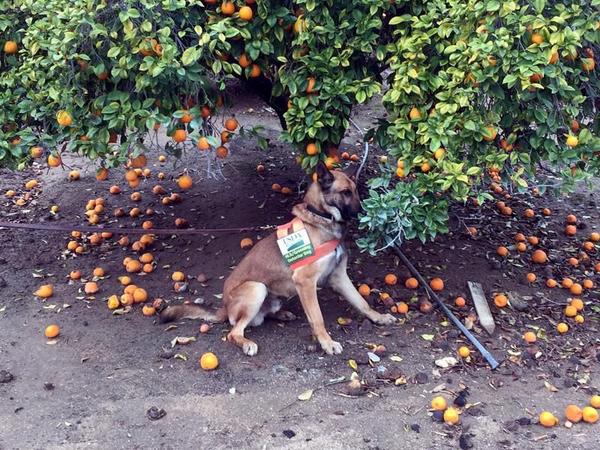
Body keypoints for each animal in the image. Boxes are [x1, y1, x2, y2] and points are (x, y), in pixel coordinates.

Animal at [158, 161, 398, 356]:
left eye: (355, 191)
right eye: (345, 192)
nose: (364, 213)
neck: (321, 219)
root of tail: (224, 307)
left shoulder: (339, 277)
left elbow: (362, 302)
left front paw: (378, 317)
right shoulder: (305, 282)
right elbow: (317, 318)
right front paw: (327, 343)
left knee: (262, 316)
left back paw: (282, 315)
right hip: (256, 288)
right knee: (234, 331)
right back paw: (246, 343)